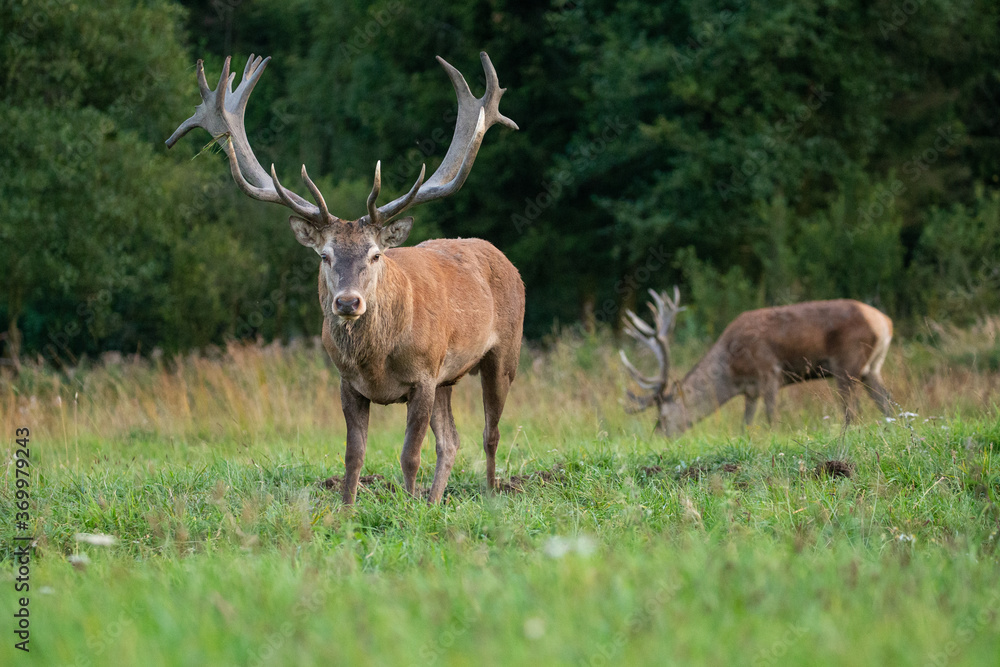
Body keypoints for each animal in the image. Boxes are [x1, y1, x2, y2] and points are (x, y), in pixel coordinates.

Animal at [166, 52, 524, 504]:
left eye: (375, 254)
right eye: (324, 255)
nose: (348, 302)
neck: (376, 359)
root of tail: (505, 259)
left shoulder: (424, 374)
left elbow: (410, 455)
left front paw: (409, 507)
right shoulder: (348, 382)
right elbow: (354, 455)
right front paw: (348, 508)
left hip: (504, 353)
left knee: (490, 433)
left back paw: (492, 493)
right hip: (449, 378)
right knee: (452, 440)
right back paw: (436, 499)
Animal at [619, 289, 894, 435]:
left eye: (664, 416)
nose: (657, 435)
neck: (731, 370)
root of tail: (885, 322)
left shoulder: (770, 371)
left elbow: (772, 416)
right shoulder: (750, 391)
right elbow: (745, 425)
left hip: (846, 365)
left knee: (853, 412)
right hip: (872, 368)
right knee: (889, 406)